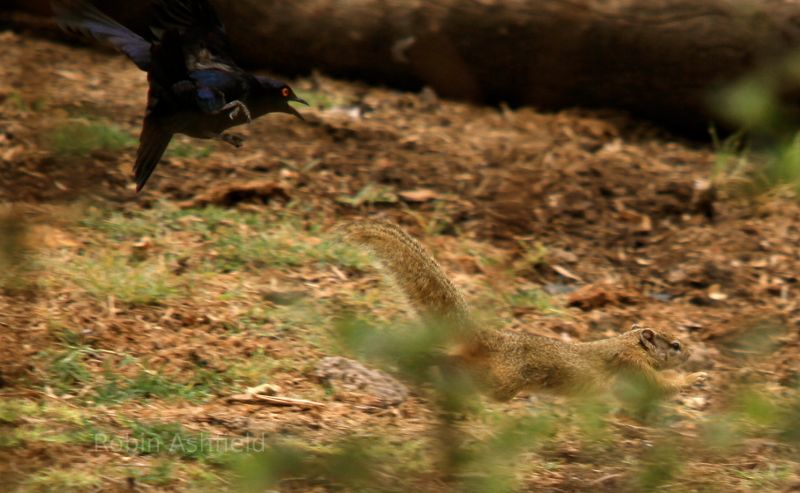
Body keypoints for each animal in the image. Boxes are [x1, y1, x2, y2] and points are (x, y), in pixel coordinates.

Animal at [340, 219, 708, 400]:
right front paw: (696, 377)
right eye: (675, 345)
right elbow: (661, 388)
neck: (625, 344)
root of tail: (490, 339)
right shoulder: (633, 366)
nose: (692, 354)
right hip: (503, 382)